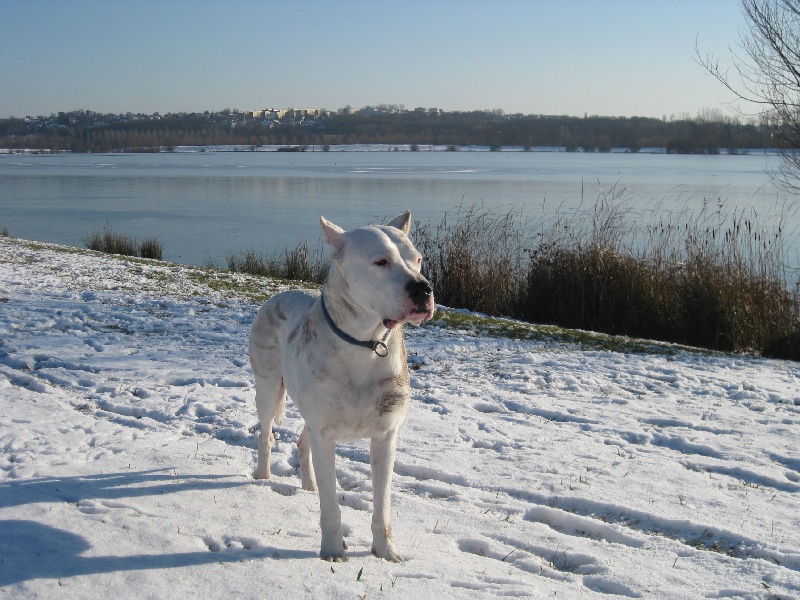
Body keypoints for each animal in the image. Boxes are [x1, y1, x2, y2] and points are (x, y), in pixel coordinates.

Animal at [252, 212, 434, 564]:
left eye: (418, 260)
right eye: (381, 261)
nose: (423, 288)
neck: (364, 344)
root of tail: (279, 294)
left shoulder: (385, 437)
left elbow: (382, 504)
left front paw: (386, 551)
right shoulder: (325, 434)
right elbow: (331, 503)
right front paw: (333, 551)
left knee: (303, 442)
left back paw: (308, 485)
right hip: (267, 386)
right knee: (266, 432)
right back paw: (263, 476)